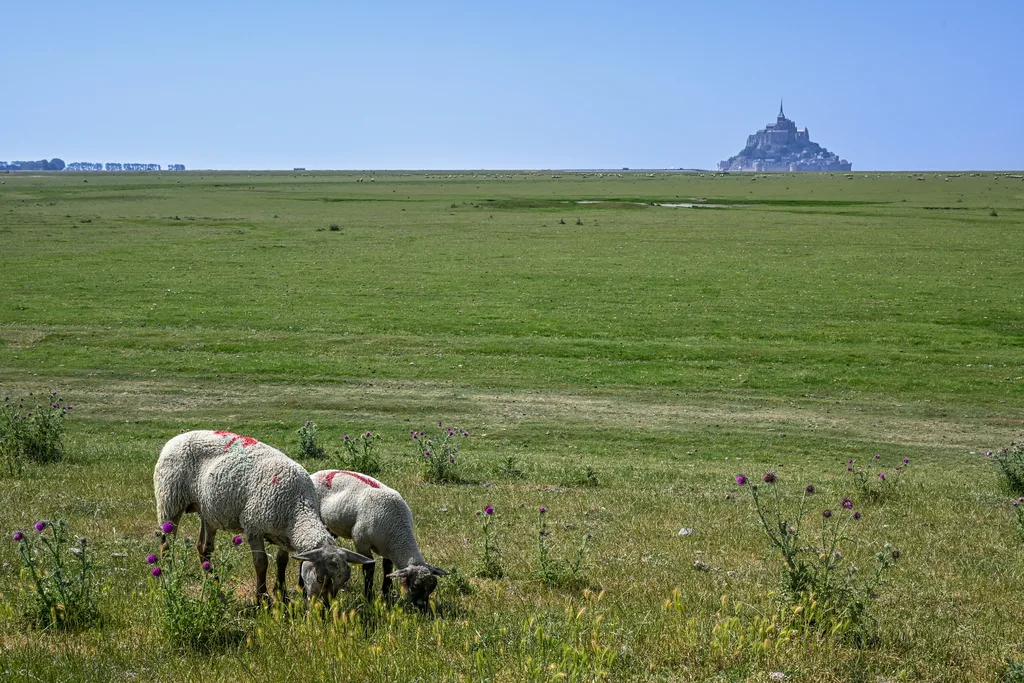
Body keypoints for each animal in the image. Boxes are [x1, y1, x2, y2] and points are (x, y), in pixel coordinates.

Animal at [154, 430, 373, 603]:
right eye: (320, 578)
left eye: (343, 581)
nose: (326, 609)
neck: (297, 508)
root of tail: (176, 438)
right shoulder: (254, 528)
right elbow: (261, 564)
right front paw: (262, 597)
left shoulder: (284, 534)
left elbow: (282, 561)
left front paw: (282, 593)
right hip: (170, 501)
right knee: (166, 546)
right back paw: (170, 579)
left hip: (207, 510)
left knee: (203, 548)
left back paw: (215, 585)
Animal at [310, 469, 448, 608]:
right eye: (414, 586)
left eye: (432, 588)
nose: (424, 609)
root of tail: (318, 473)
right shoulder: (361, 541)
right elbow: (369, 568)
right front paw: (369, 598)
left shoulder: (388, 549)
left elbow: (387, 569)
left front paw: (387, 596)